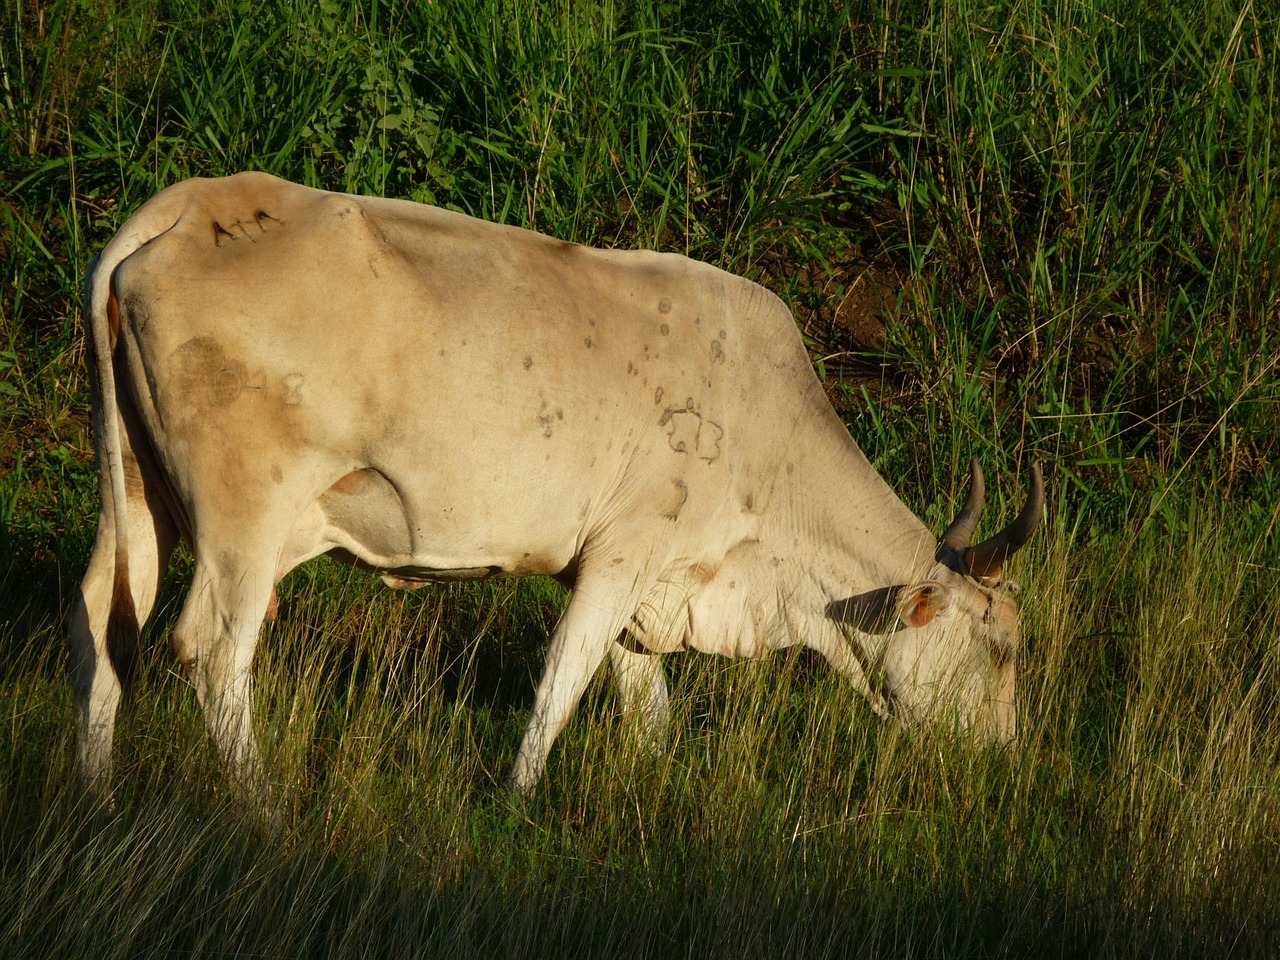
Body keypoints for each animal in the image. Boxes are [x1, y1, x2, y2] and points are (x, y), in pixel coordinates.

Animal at [67, 172, 1039, 798]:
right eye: (1002, 648)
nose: (1005, 760)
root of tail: (196, 201)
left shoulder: (650, 583)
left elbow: (644, 703)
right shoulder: (624, 550)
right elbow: (562, 679)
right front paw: (517, 802)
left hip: (137, 493)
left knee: (105, 620)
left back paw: (95, 792)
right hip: (245, 515)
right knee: (211, 649)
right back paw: (262, 810)